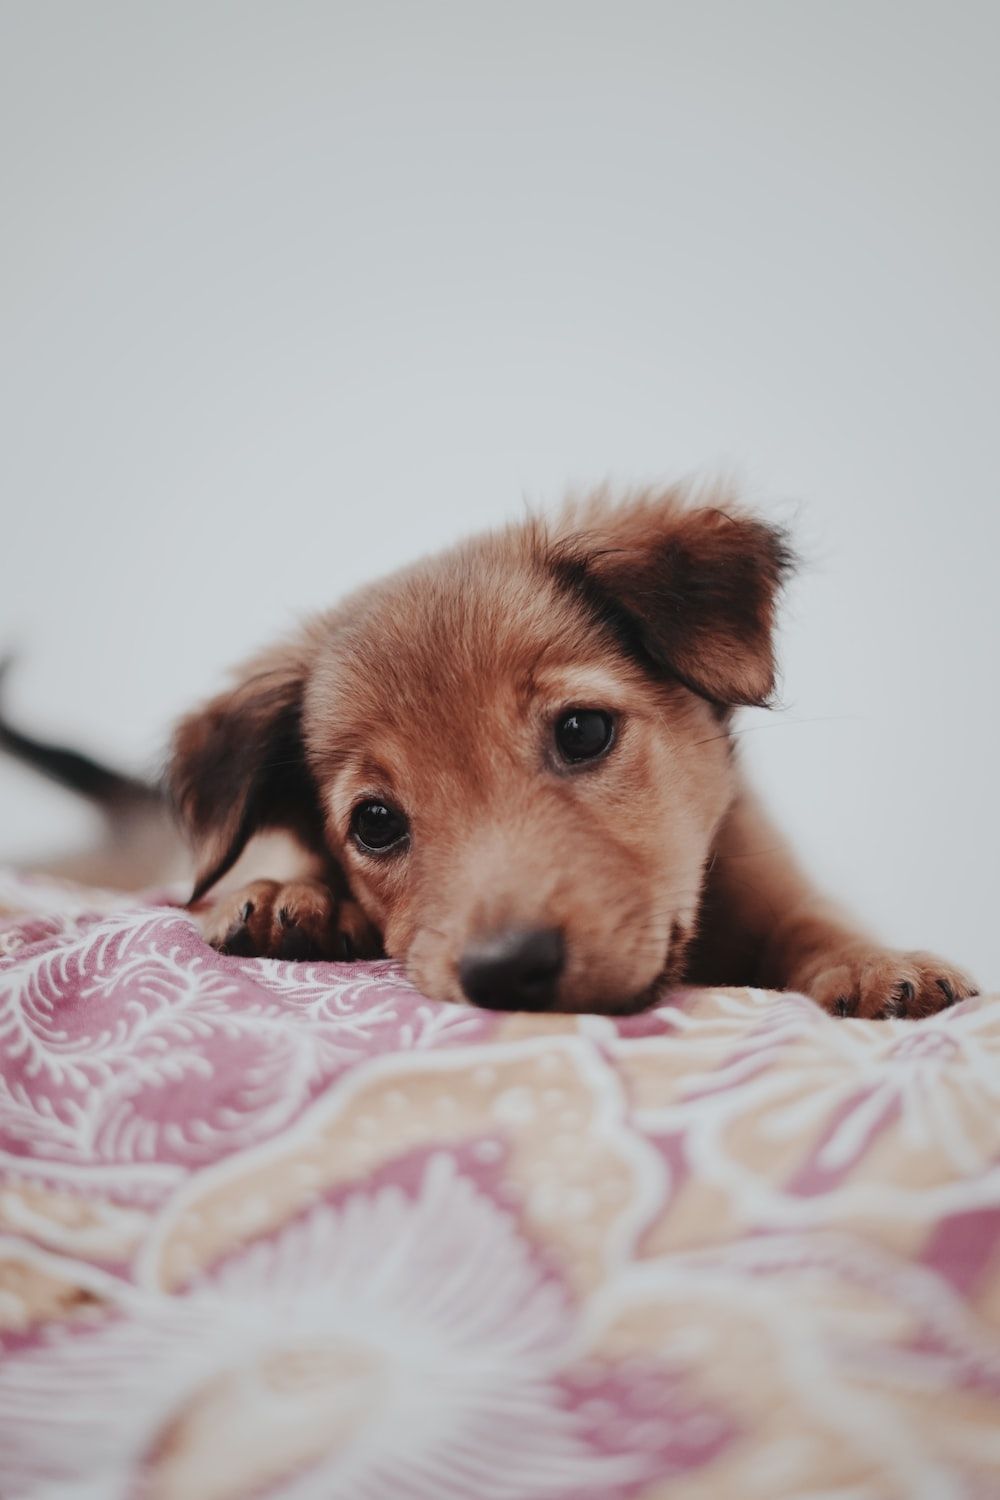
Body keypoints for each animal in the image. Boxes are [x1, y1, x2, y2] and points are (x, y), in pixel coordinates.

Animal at [167, 492, 971, 1020]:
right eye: (374, 822)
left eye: (582, 731)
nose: (506, 974)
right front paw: (297, 893)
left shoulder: (775, 880)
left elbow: (812, 921)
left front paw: (875, 964)